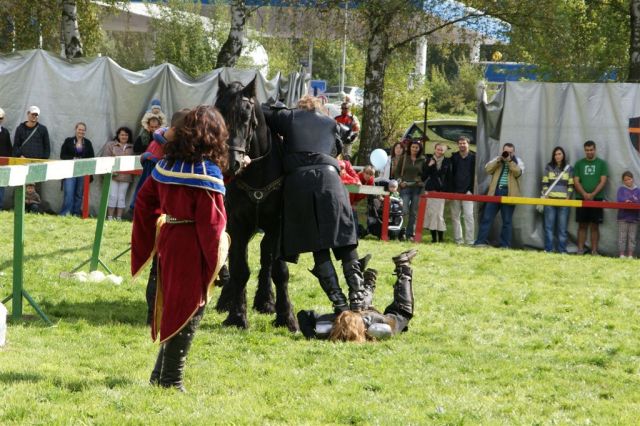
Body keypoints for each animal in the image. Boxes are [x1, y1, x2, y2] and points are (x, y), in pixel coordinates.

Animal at [212, 78, 298, 332]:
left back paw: (266, 300)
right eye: (219, 114)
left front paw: (285, 316)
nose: (230, 163)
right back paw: (227, 300)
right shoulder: (238, 223)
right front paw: (237, 315)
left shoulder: (278, 225)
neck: (258, 171)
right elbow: (240, 269)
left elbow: (279, 269)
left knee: (266, 257)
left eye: (245, 117)